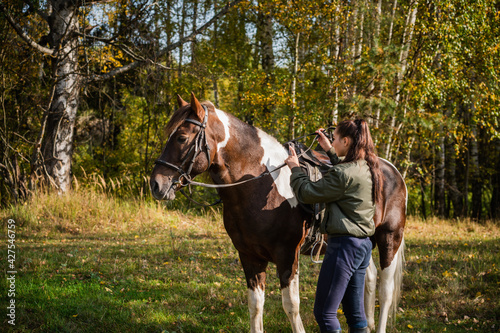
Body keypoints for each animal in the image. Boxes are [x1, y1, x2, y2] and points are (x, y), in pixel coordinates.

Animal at [149, 92, 406, 332]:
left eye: (182, 137)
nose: (156, 185)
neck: (260, 184)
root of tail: (391, 170)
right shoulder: (249, 257)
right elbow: (255, 305)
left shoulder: (287, 256)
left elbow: (291, 306)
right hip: (365, 240)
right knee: (368, 279)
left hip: (389, 238)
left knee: (385, 290)